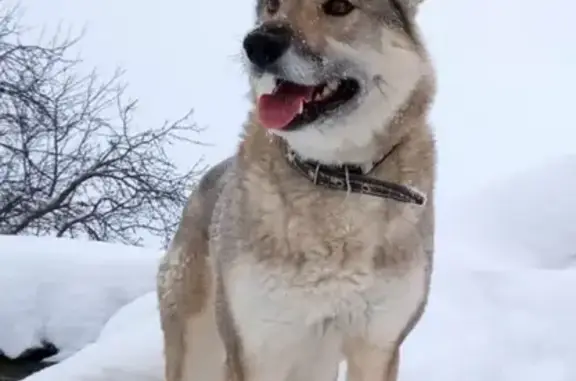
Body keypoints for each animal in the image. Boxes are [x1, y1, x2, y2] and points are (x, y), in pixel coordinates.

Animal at [158, 0, 436, 378]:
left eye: (339, 7)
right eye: (272, 7)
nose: (257, 45)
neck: (336, 174)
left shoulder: (378, 345)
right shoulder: (257, 349)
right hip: (198, 346)